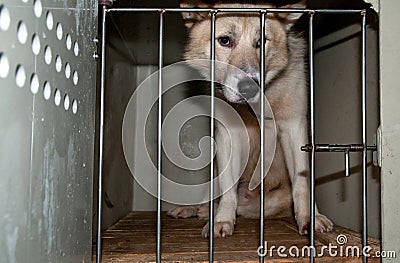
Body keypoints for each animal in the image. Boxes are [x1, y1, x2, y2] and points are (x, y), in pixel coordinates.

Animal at [167, 0, 332, 238]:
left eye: (261, 42)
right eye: (225, 40)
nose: (248, 87)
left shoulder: (294, 129)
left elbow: (302, 184)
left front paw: (311, 217)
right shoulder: (229, 136)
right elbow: (228, 191)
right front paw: (222, 221)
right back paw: (197, 210)